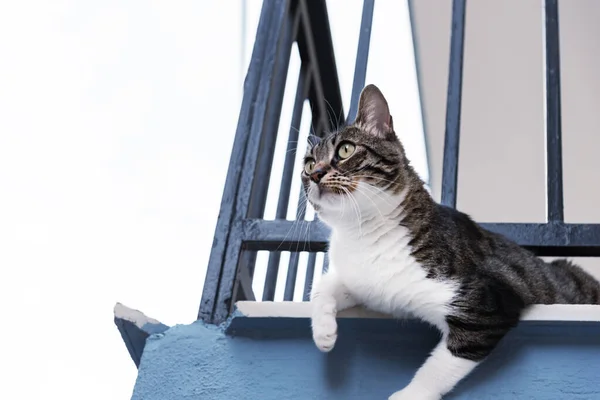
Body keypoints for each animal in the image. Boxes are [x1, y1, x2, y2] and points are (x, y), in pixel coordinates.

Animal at [302, 84, 600, 400]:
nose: (315, 173)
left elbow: (444, 361)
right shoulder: (366, 286)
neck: (362, 232)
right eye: (308, 164)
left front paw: (408, 394)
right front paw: (323, 333)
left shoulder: (487, 302)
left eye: (345, 149)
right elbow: (323, 285)